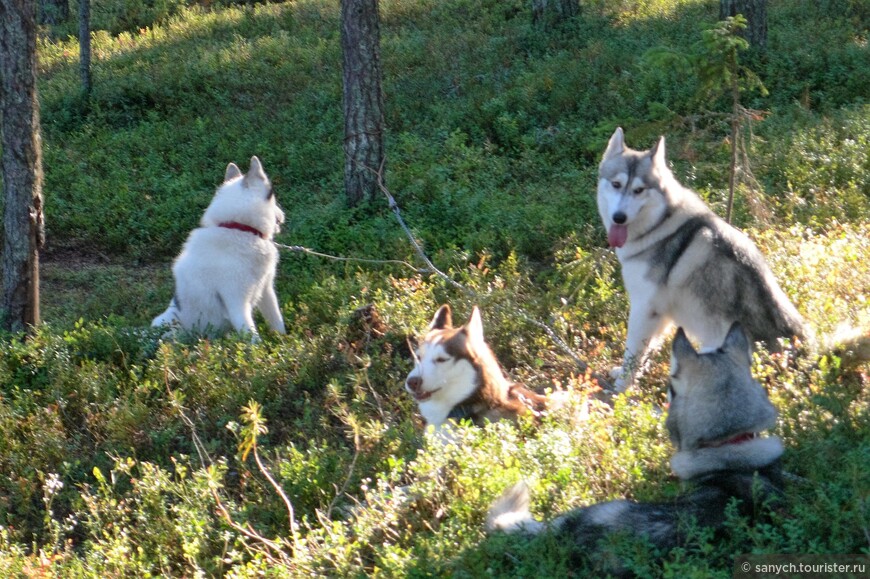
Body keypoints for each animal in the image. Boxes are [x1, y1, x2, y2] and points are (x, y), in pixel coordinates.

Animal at [151, 156, 286, 342]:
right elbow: (254, 339)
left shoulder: (266, 290)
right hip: (169, 324)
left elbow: (277, 321)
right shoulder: (237, 304)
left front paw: (284, 343)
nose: (283, 216)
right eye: (272, 195)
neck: (239, 229)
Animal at [596, 126, 808, 390]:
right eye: (616, 184)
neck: (659, 225)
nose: (619, 217)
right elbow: (645, 353)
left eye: (638, 190)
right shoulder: (660, 316)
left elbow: (632, 354)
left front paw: (622, 388)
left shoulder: (644, 308)